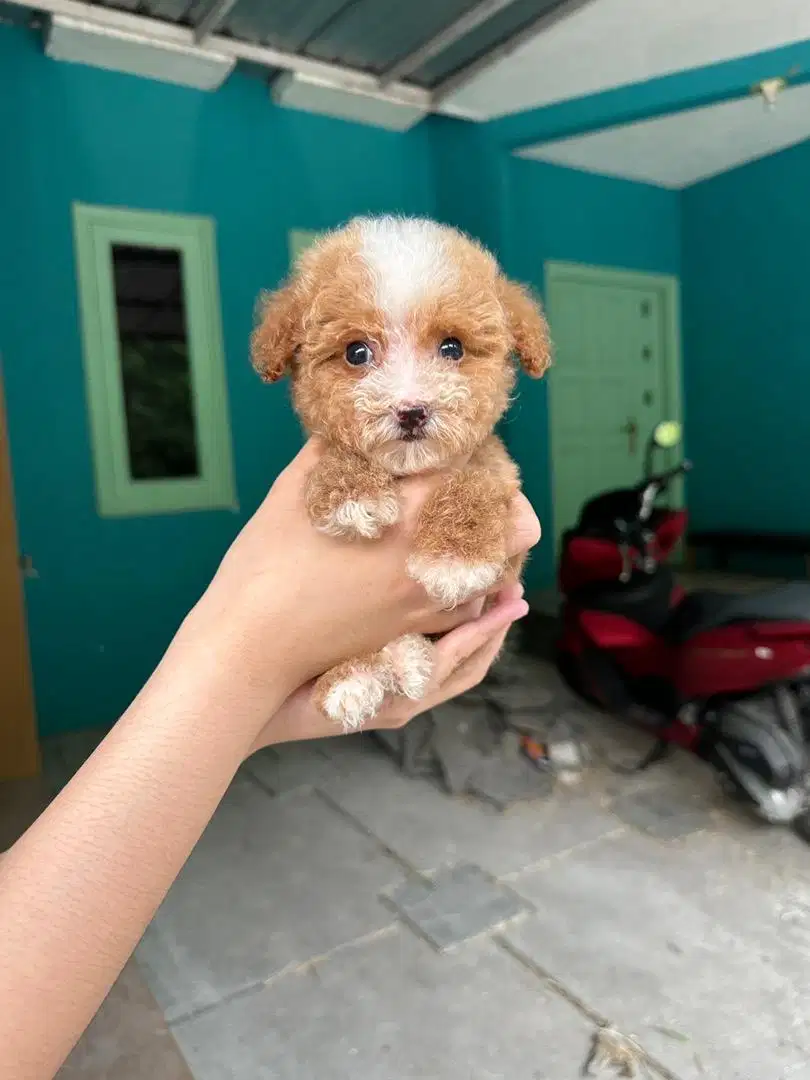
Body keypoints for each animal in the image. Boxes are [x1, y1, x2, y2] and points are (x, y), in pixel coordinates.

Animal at [253, 214, 552, 730]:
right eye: (356, 353)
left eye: (452, 348)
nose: (411, 411)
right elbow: (341, 450)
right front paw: (353, 494)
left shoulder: (499, 473)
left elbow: (474, 481)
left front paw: (454, 559)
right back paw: (354, 678)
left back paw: (402, 657)